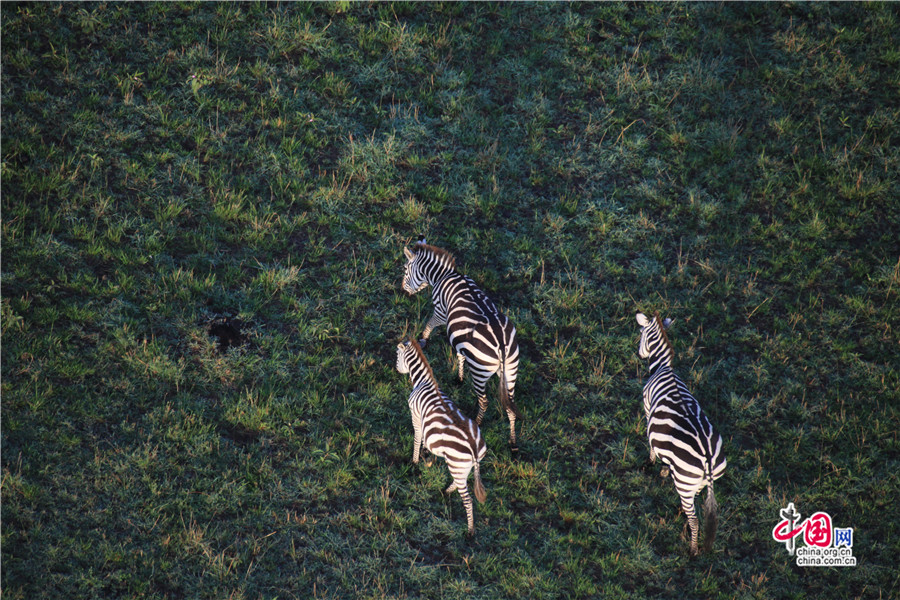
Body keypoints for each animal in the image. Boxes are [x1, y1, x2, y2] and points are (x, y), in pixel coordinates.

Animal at [396, 338, 488, 536]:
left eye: (396, 356)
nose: (397, 369)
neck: (424, 381)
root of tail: (474, 448)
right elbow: (423, 439)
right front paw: (425, 454)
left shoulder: (415, 415)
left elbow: (417, 437)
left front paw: (415, 461)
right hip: (462, 467)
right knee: (458, 482)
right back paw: (445, 491)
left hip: (456, 464)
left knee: (468, 500)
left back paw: (470, 531)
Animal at [400, 238, 520, 450]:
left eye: (406, 269)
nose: (403, 290)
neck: (444, 276)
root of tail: (502, 345)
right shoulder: (460, 336)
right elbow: (459, 354)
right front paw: (460, 377)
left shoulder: (441, 312)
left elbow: (430, 324)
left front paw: (423, 340)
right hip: (511, 371)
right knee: (511, 405)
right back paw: (513, 443)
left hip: (480, 370)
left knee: (484, 401)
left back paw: (477, 424)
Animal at [636, 312, 728, 556]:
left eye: (641, 334)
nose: (639, 353)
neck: (664, 368)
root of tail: (707, 459)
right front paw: (664, 468)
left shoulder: (647, 407)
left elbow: (650, 443)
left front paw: (650, 463)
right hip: (695, 483)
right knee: (694, 509)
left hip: (686, 483)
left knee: (695, 518)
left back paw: (693, 549)